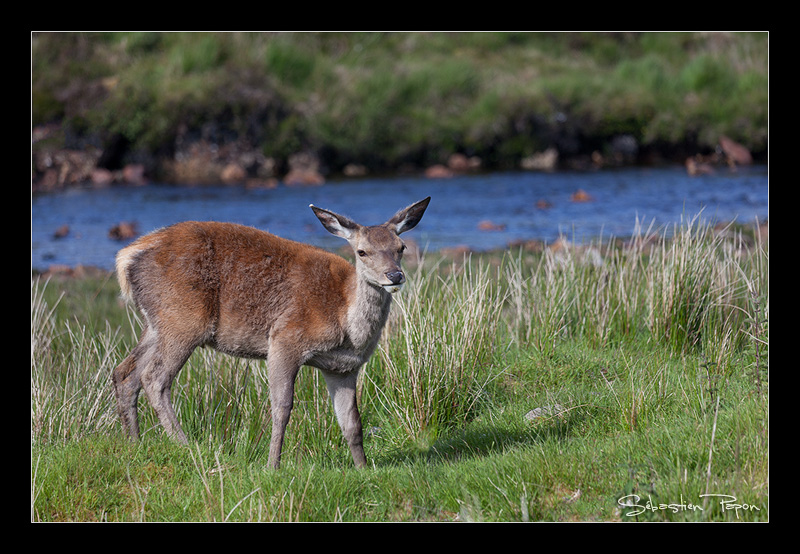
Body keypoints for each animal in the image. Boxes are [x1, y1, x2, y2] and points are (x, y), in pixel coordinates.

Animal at [112, 196, 432, 468]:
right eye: (362, 251)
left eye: (401, 247)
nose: (394, 275)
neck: (346, 324)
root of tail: (125, 257)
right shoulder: (285, 340)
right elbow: (282, 408)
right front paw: (272, 465)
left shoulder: (343, 367)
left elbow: (351, 422)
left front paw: (363, 468)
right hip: (184, 319)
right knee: (154, 377)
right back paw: (186, 445)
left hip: (157, 322)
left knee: (125, 372)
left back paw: (134, 442)